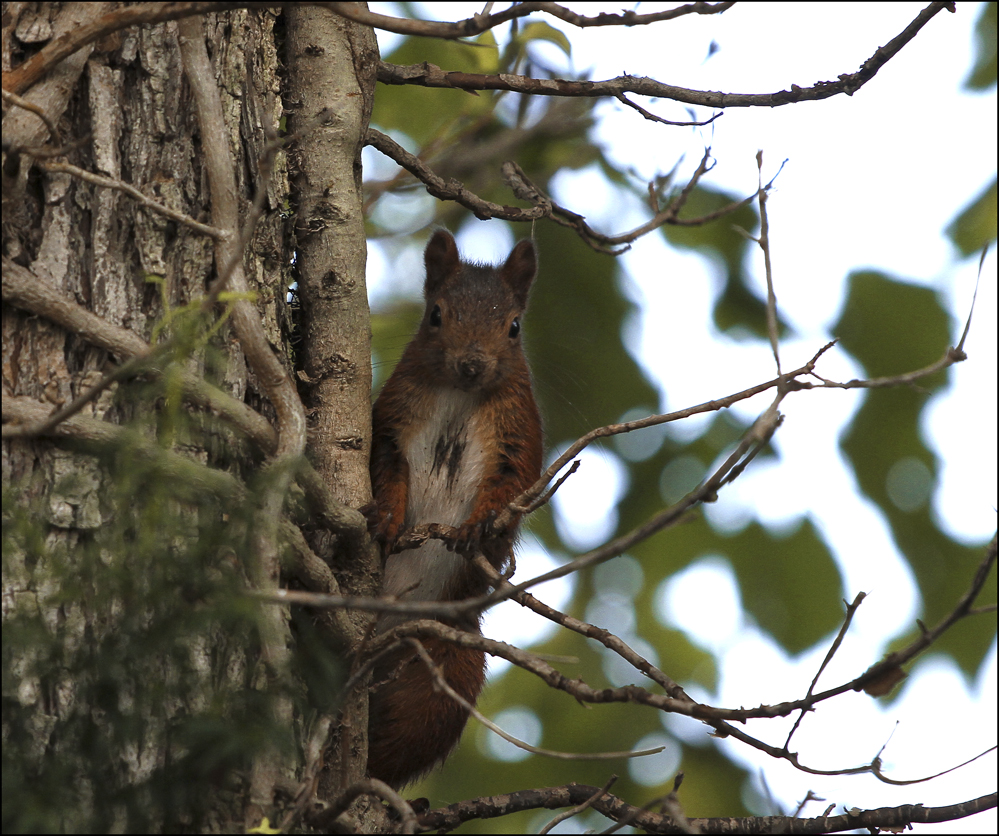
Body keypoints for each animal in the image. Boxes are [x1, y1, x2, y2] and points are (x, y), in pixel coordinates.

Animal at [364, 230, 544, 792]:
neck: (460, 395)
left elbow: (510, 489)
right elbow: (386, 468)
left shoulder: (520, 438)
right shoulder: (393, 421)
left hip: (452, 659)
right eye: (435, 315)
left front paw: (477, 527)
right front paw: (387, 518)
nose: (471, 364)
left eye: (514, 326)